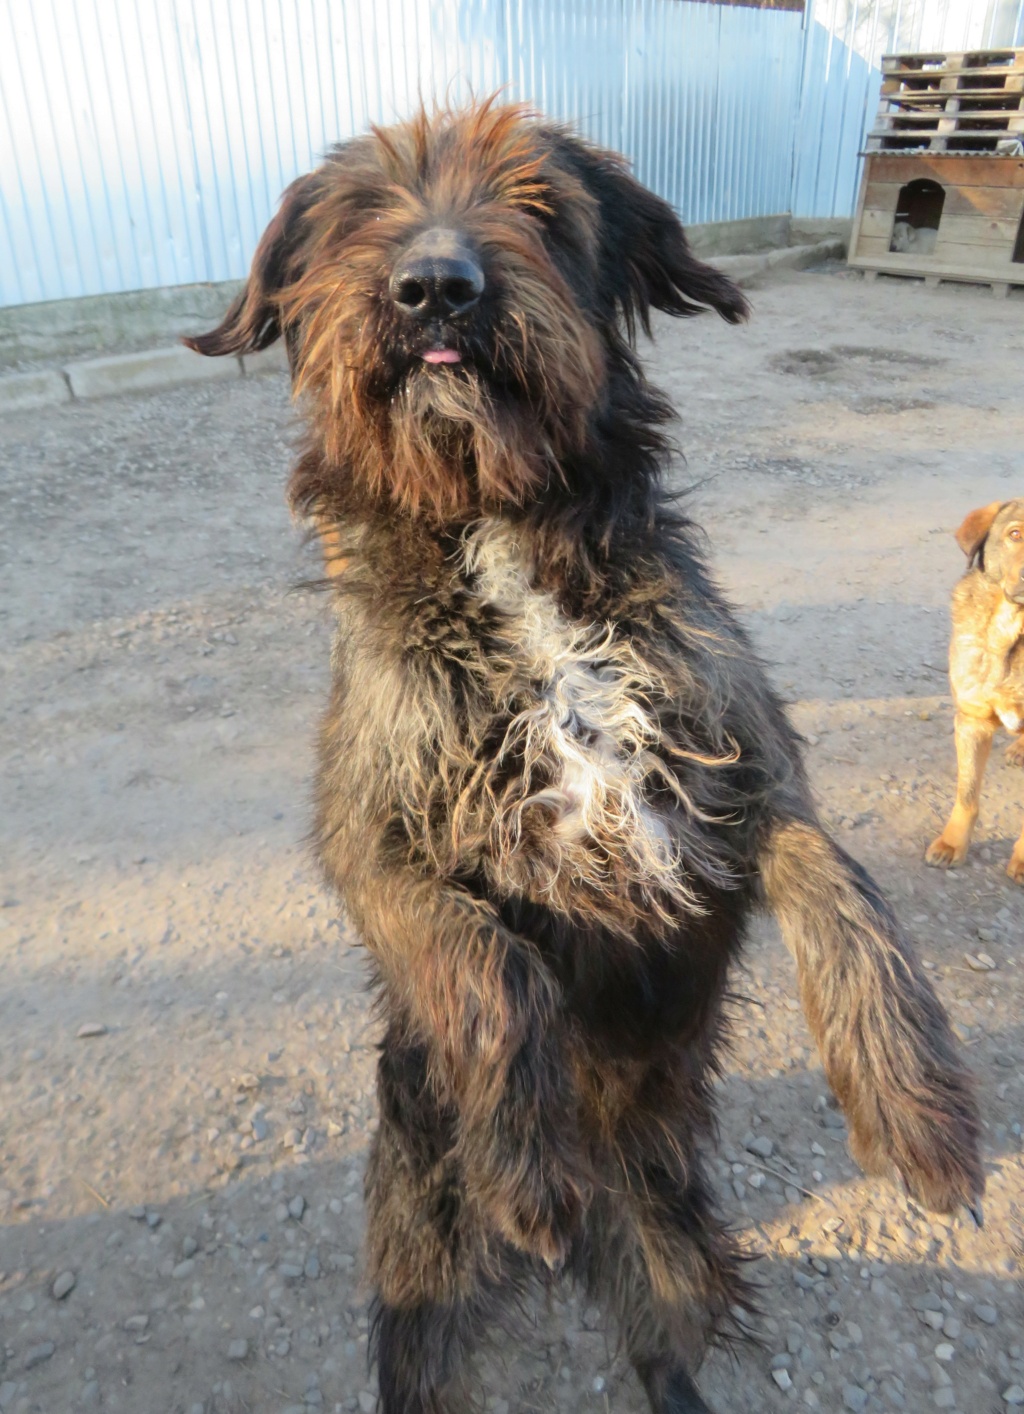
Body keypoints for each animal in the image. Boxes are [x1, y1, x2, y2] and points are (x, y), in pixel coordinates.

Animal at [189, 102, 984, 1414]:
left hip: (675, 1245)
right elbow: (484, 959)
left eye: (541, 206)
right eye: (356, 217)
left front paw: (919, 1119)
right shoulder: (370, 841)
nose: (434, 288)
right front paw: (526, 1166)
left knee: (663, 1345)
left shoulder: (747, 782)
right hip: (420, 1268)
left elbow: (849, 900)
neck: (503, 540)